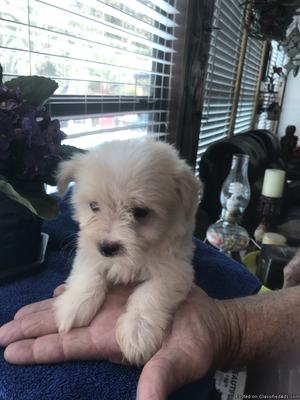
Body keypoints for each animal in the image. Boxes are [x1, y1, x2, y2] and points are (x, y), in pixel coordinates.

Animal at [54, 139, 204, 368]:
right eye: (93, 206)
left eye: (140, 212)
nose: (106, 248)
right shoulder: (88, 252)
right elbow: (89, 276)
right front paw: (74, 305)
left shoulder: (175, 270)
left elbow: (151, 293)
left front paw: (138, 331)